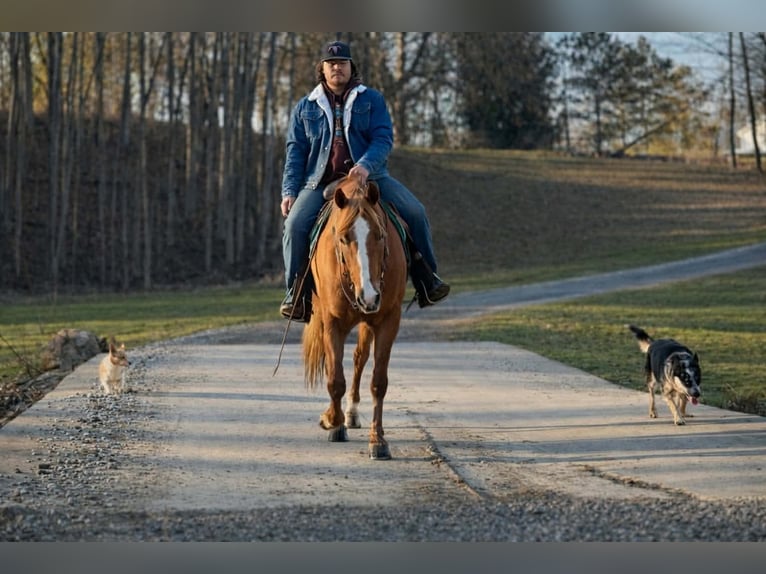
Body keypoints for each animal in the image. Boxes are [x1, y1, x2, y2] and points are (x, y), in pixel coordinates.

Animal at [302, 176, 407, 460]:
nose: (368, 296)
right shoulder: (332, 322)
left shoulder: (388, 320)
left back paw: (350, 413)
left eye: (380, 235)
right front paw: (332, 423)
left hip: (368, 320)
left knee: (360, 358)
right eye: (343, 238)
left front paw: (378, 440)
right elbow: (335, 379)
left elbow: (378, 382)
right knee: (335, 365)